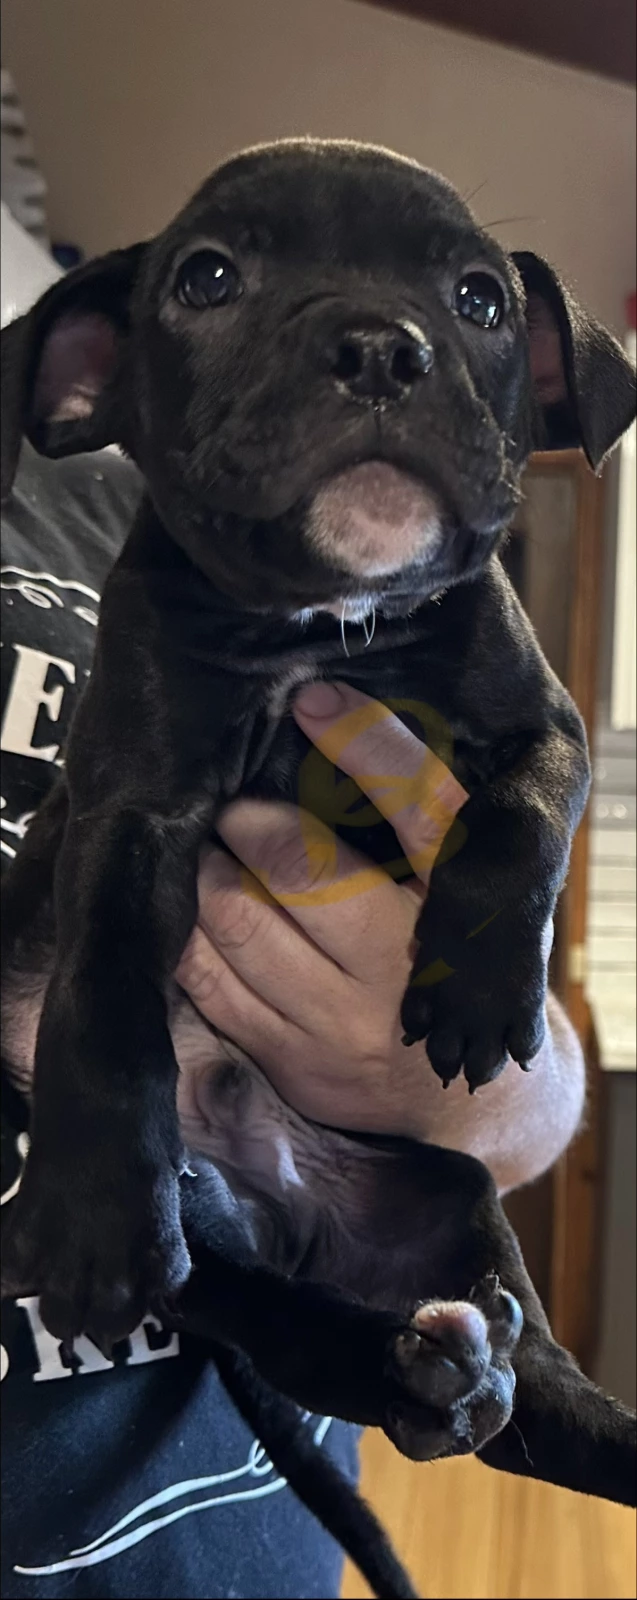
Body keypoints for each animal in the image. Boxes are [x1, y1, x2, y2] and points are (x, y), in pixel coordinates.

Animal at [2, 139, 636, 1594]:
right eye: (205, 279)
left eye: (478, 298)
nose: (380, 347)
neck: (324, 626)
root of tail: (286, 1195)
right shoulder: (128, 807)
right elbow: (102, 999)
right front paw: (92, 1209)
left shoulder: (545, 722)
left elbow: (518, 817)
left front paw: (471, 989)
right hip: (228, 1281)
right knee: (363, 1363)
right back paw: (429, 1372)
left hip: (454, 1208)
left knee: (543, 1410)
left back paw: (492, 1386)